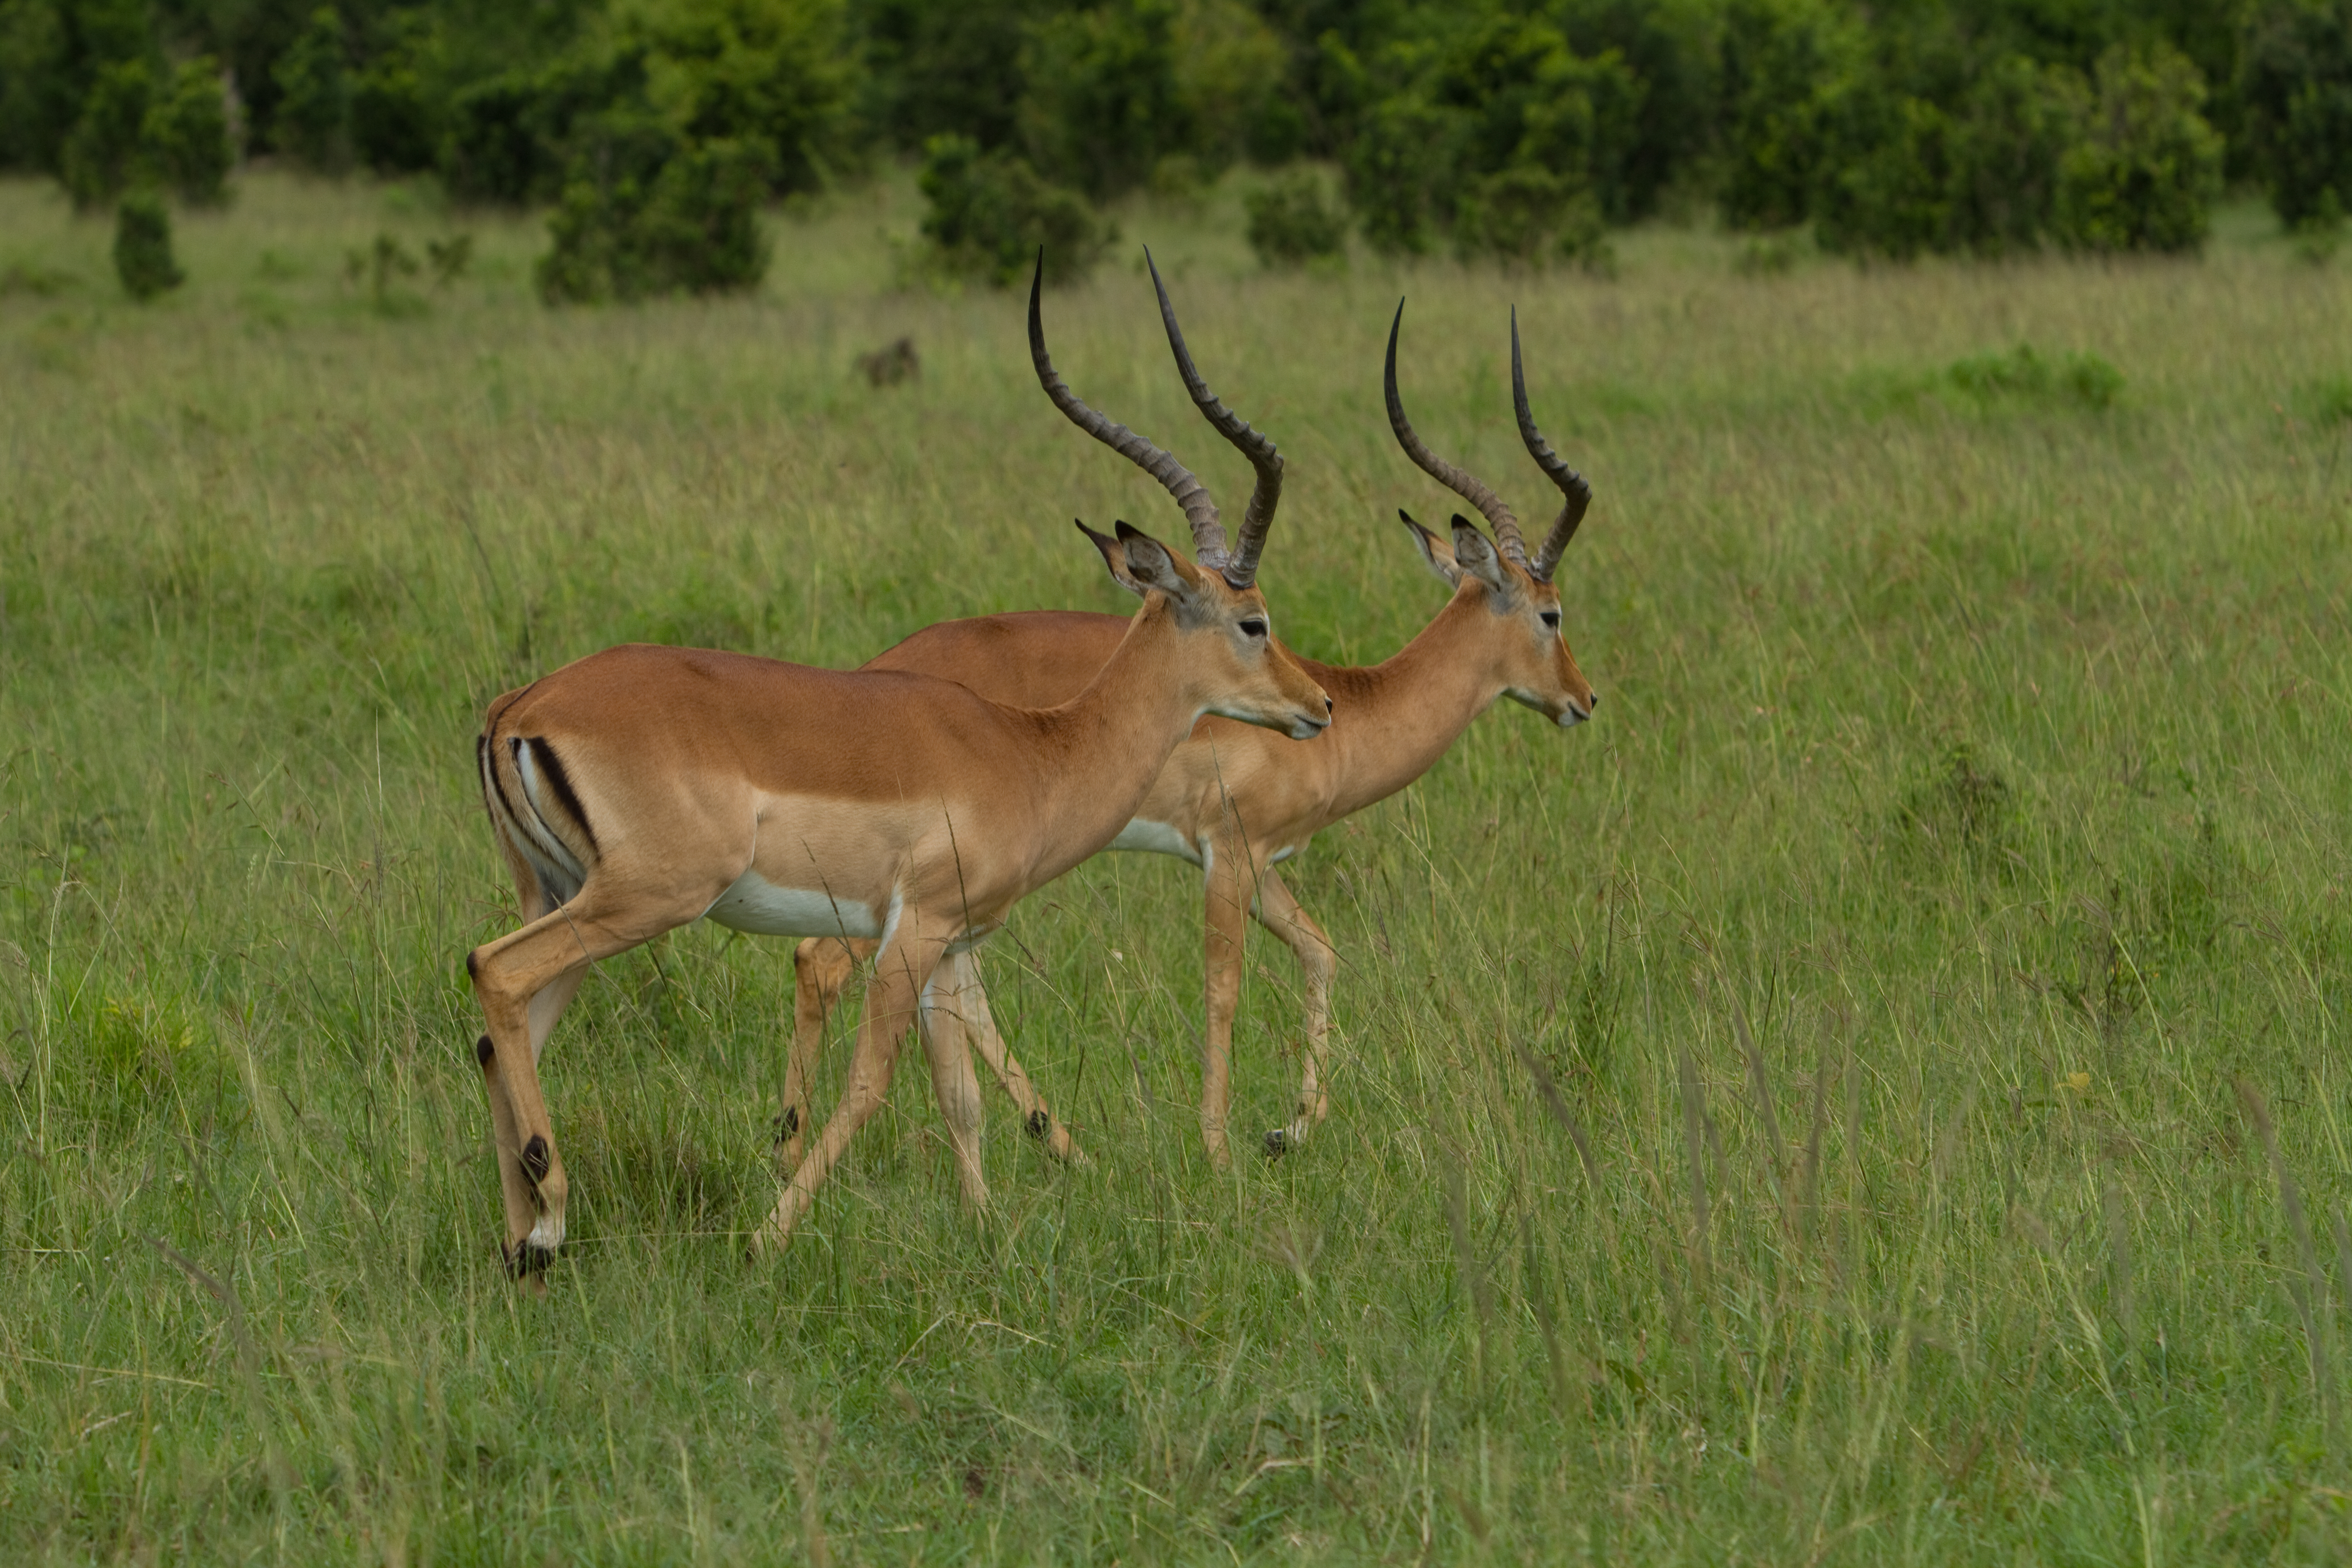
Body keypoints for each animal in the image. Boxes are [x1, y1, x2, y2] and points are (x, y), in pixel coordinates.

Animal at [464, 258, 1330, 1277]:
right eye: (1253, 621)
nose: (1320, 706)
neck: (1034, 751)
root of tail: (521, 706)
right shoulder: (910, 932)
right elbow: (872, 1085)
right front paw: (766, 1237)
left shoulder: (952, 946)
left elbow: (960, 1099)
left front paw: (987, 1234)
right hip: (644, 898)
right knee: (494, 972)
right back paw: (549, 1225)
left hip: (562, 891)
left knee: (500, 1035)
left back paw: (521, 1241)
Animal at [783, 302, 1596, 1170]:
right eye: (1551, 613)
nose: (1584, 698)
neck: (1344, 705)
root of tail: (875, 675)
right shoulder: (1228, 854)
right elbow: (1223, 989)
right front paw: (1218, 1149)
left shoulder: (1264, 863)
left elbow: (1321, 952)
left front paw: (1287, 1130)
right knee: (824, 962)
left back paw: (1050, 1143)